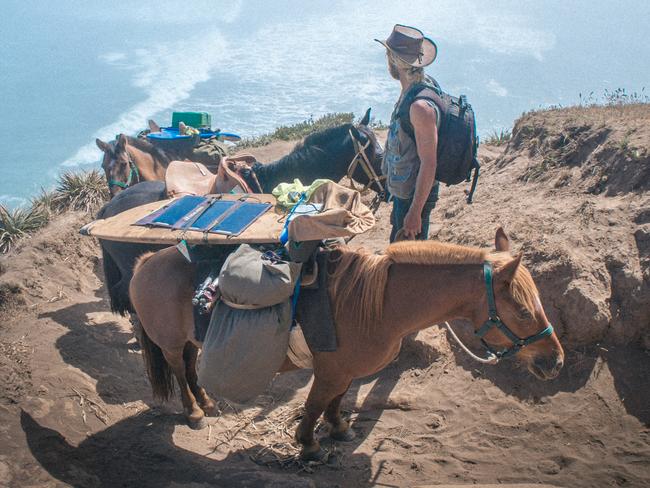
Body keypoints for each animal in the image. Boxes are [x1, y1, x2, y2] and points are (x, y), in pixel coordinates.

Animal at [128, 229, 560, 462]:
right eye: (523, 311)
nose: (554, 361)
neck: (379, 304)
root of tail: (146, 261)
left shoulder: (345, 371)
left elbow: (336, 402)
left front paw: (338, 430)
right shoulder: (330, 371)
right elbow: (314, 404)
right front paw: (309, 445)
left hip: (189, 340)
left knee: (190, 364)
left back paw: (207, 403)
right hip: (169, 344)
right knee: (179, 368)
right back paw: (193, 412)